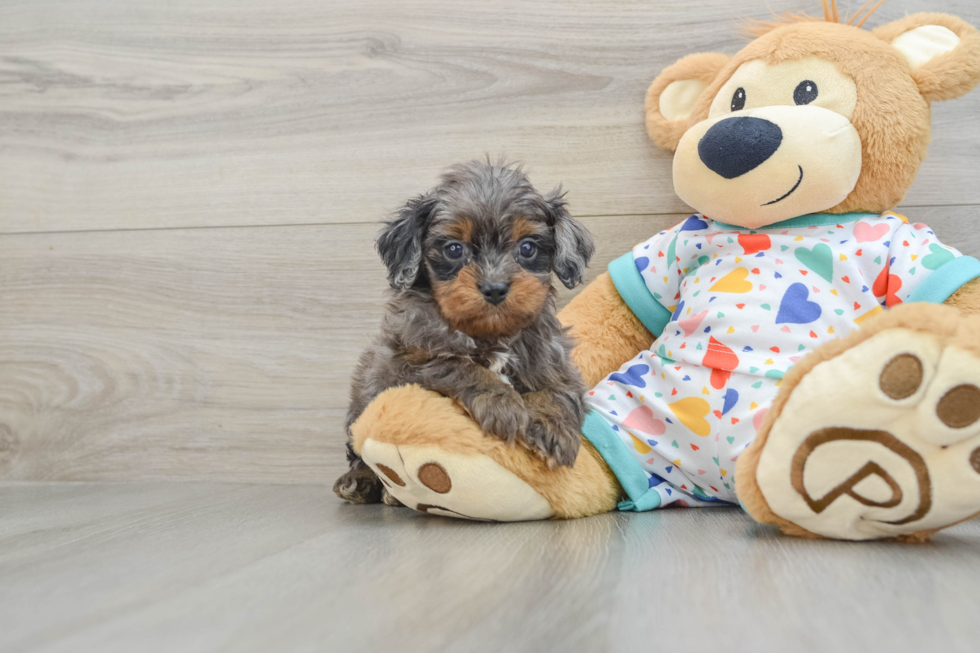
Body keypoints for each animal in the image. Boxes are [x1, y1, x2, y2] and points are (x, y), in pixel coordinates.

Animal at [336, 159, 592, 504]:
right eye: (454, 249)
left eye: (527, 247)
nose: (495, 288)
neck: (490, 332)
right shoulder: (405, 364)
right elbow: (458, 366)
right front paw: (501, 402)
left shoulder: (556, 361)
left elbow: (558, 391)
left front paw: (553, 428)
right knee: (360, 451)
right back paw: (362, 483)